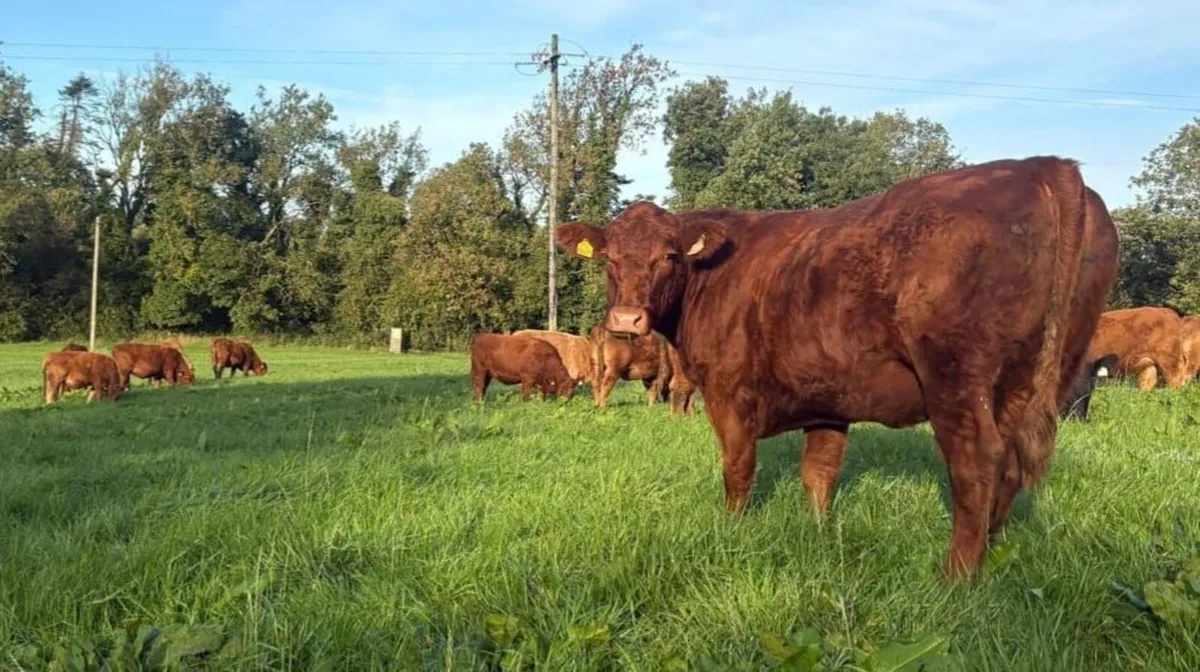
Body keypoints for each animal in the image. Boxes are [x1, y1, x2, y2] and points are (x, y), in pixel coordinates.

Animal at [554, 156, 1119, 580]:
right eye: (608, 259)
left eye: (669, 256)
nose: (627, 319)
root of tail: (1044, 165)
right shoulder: (827, 398)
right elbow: (819, 472)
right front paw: (819, 532)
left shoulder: (727, 393)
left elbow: (738, 469)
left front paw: (731, 528)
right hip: (1036, 380)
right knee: (1013, 467)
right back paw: (990, 552)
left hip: (957, 377)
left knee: (978, 463)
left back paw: (956, 576)